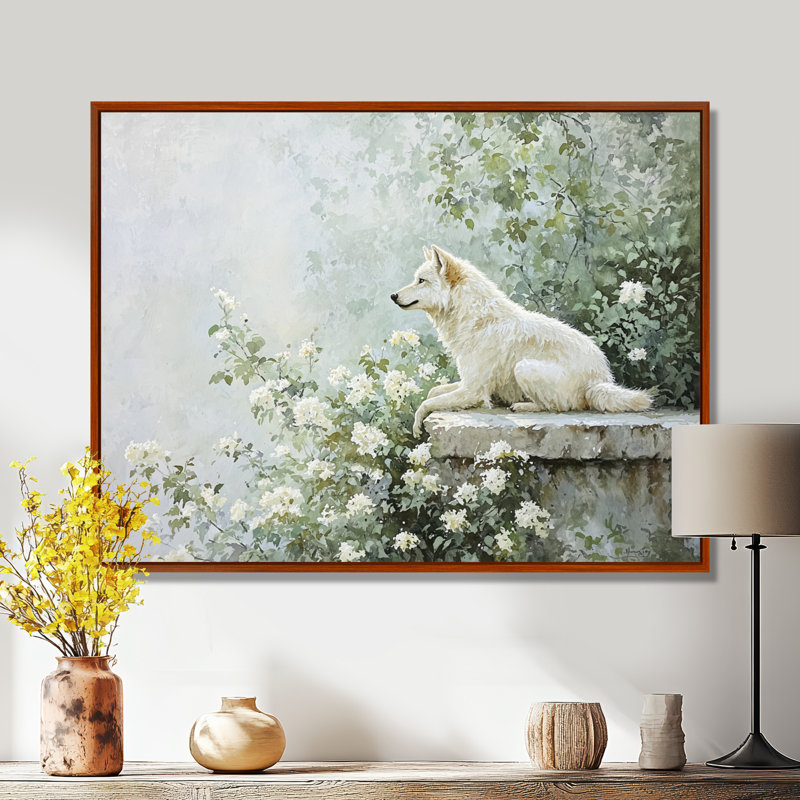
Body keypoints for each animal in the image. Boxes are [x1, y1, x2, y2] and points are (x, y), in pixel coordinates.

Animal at [391, 245, 653, 437]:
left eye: (421, 281)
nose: (392, 295)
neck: (477, 319)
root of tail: (599, 379)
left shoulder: (474, 390)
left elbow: (427, 403)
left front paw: (416, 423)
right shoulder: (469, 383)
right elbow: (433, 392)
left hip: (524, 367)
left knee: (559, 407)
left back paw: (522, 405)